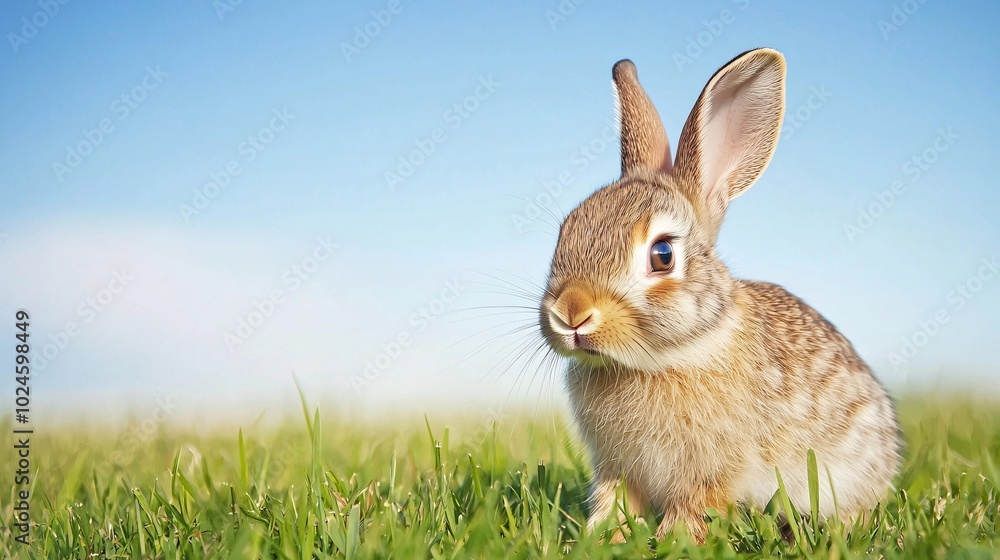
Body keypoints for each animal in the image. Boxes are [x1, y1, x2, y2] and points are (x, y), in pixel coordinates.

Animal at [538, 48, 901, 544]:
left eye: (663, 254)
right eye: (565, 233)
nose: (571, 313)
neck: (658, 358)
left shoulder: (713, 471)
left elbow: (695, 507)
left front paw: (671, 541)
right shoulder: (617, 467)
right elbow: (615, 503)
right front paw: (600, 539)